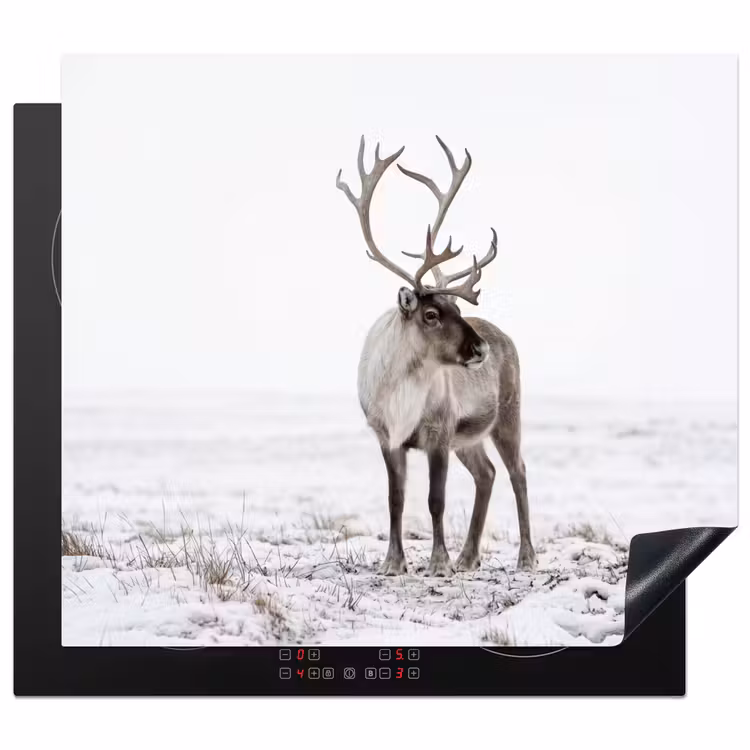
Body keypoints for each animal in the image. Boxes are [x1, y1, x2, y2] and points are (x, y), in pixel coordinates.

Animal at [336, 136, 535, 577]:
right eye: (431, 314)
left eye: (458, 308)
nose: (480, 349)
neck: (401, 393)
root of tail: (506, 336)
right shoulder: (387, 438)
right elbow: (396, 500)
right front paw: (393, 562)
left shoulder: (439, 434)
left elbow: (435, 500)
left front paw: (439, 562)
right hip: (469, 438)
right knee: (487, 474)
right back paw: (469, 556)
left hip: (507, 417)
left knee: (517, 471)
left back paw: (526, 557)